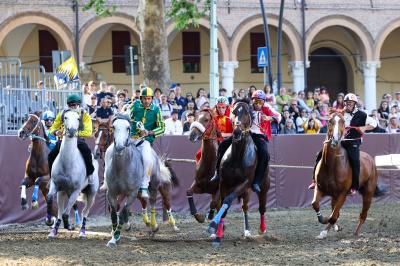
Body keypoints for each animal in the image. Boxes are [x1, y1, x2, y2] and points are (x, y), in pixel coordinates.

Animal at [46, 110, 99, 239]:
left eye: (78, 118)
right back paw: (54, 231)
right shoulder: (55, 184)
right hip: (62, 192)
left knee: (85, 212)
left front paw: (69, 226)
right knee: (61, 210)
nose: (71, 131)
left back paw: (82, 232)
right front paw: (49, 221)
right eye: (65, 117)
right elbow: (50, 199)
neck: (67, 163)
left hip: (91, 193)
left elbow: (66, 213)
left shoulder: (76, 190)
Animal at [208, 101, 270, 247]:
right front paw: (217, 233)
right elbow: (223, 205)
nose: (236, 131)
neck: (237, 156)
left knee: (261, 207)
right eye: (233, 112)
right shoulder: (224, 183)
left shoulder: (245, 183)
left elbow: (227, 201)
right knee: (245, 207)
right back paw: (247, 230)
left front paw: (213, 226)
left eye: (247, 113)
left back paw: (261, 229)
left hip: (263, 185)